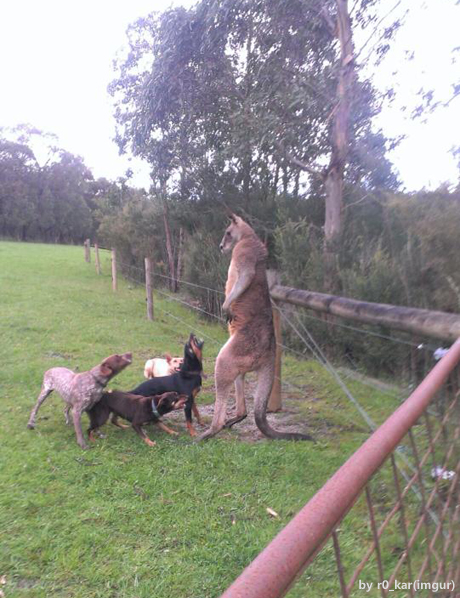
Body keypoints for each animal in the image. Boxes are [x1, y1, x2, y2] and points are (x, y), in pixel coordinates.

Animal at [200, 216, 312, 440]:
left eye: (227, 233)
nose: (220, 247)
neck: (248, 237)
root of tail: (270, 355)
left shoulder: (245, 256)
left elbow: (246, 277)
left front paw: (226, 308)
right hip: (238, 362)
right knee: (242, 401)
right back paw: (232, 420)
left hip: (229, 355)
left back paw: (209, 432)